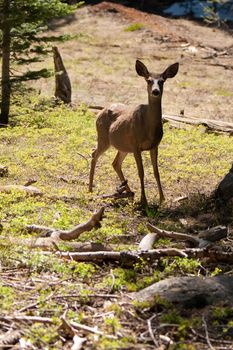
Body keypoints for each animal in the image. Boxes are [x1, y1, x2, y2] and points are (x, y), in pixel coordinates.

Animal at [88, 59, 179, 206]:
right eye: (148, 80)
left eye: (162, 81)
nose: (155, 91)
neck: (149, 128)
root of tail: (99, 112)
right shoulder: (136, 145)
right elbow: (141, 172)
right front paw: (144, 200)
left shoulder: (155, 145)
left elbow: (156, 172)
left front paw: (162, 199)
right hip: (103, 138)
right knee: (94, 154)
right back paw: (90, 189)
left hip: (123, 147)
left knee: (115, 163)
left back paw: (129, 194)